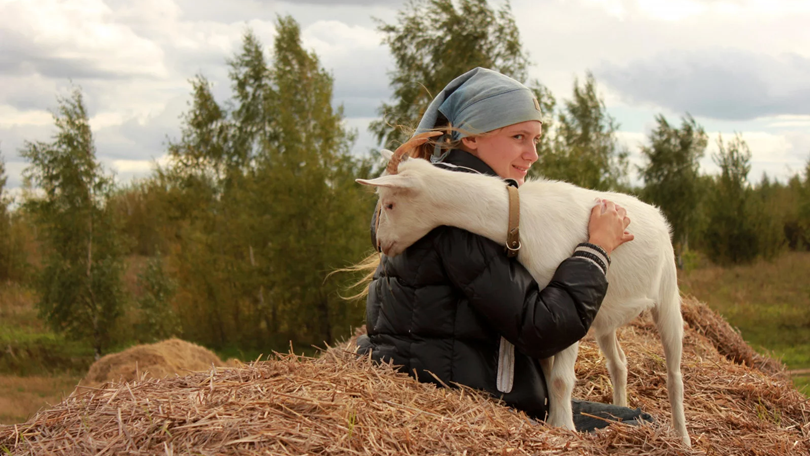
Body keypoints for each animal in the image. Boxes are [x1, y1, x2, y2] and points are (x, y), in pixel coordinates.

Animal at [360, 150, 688, 446]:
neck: (520, 216)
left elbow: (560, 378)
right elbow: (547, 369)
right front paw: (554, 419)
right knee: (618, 363)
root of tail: (657, 215)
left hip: (668, 294)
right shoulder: (549, 307)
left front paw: (564, 428)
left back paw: (682, 438)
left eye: (390, 204)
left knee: (674, 374)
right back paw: (622, 404)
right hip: (605, 314)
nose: (382, 244)